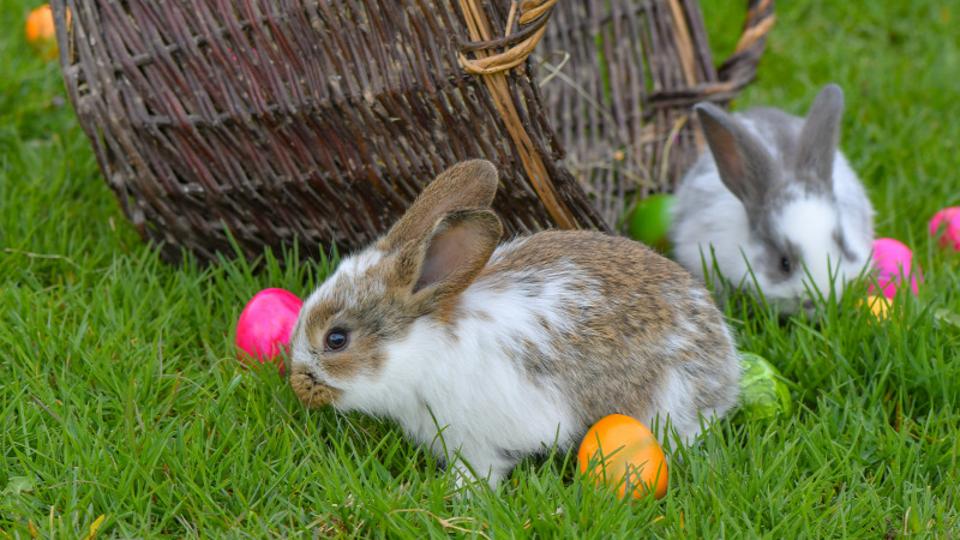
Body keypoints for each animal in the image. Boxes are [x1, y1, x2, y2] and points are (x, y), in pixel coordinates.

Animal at [288, 160, 740, 490]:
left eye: (337, 339)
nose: (297, 386)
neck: (421, 348)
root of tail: (726, 363)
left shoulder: (476, 441)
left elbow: (479, 472)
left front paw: (454, 495)